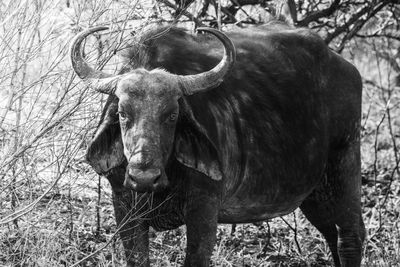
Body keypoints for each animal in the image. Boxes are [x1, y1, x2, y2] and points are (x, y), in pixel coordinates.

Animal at [70, 22, 364, 266]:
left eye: (172, 115)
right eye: (122, 113)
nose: (143, 176)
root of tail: (347, 68)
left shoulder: (204, 207)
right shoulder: (124, 204)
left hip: (345, 161)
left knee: (349, 235)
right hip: (313, 192)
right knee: (330, 233)